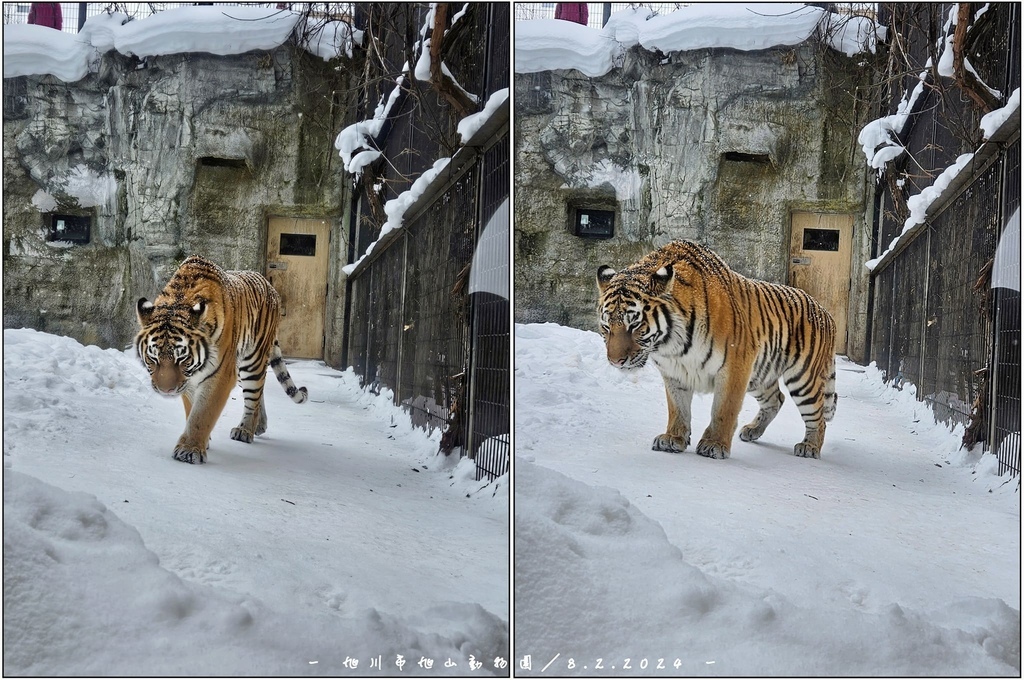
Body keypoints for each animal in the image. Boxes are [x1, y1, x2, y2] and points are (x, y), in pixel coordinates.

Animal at [138, 251, 309, 464]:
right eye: (153, 358)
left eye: (182, 358)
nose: (165, 390)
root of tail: (271, 288)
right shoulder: (189, 381)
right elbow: (191, 410)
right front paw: (201, 441)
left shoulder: (220, 375)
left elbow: (202, 414)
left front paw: (189, 449)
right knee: (259, 392)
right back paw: (259, 425)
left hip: (252, 361)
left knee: (253, 395)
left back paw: (245, 430)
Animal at [598, 241, 835, 458]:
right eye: (607, 326)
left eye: (634, 325)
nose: (615, 361)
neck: (671, 345)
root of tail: (824, 311)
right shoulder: (673, 372)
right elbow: (677, 408)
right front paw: (673, 438)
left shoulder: (735, 367)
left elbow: (724, 409)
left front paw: (714, 444)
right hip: (760, 376)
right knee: (777, 399)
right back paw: (752, 431)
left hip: (803, 379)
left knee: (818, 416)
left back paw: (809, 447)